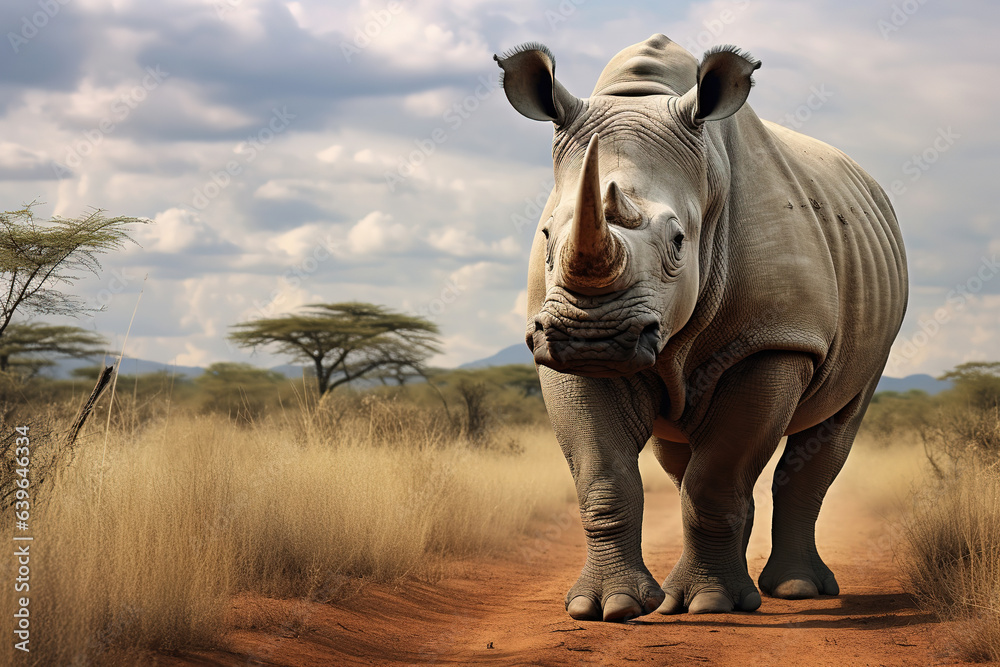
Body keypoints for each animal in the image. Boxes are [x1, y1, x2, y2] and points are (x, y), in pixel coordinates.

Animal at [493, 34, 908, 622]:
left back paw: (793, 591)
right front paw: (609, 607)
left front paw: (709, 604)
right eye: (548, 237)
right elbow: (605, 478)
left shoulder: (775, 341)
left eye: (677, 243)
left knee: (831, 430)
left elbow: (715, 479)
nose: (592, 337)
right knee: (680, 455)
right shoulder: (550, 345)